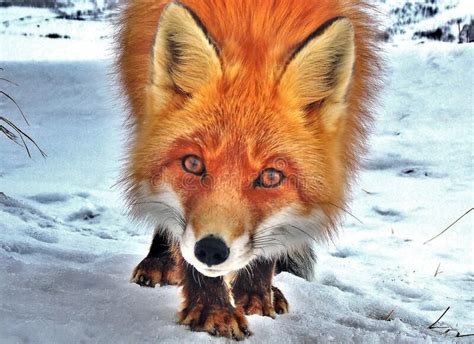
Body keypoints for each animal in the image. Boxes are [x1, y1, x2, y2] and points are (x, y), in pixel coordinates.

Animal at [118, 0, 382, 338]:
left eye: (270, 177)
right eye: (193, 164)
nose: (211, 251)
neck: (254, 21)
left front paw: (256, 295)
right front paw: (212, 310)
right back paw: (159, 260)